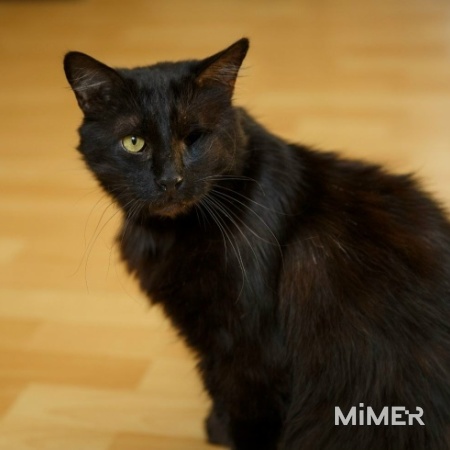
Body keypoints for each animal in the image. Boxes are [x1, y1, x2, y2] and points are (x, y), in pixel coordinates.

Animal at [64, 38, 450, 449]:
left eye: (194, 137)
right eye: (134, 143)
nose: (171, 179)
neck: (170, 233)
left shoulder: (251, 350)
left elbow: (249, 414)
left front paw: (223, 432)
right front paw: (217, 428)